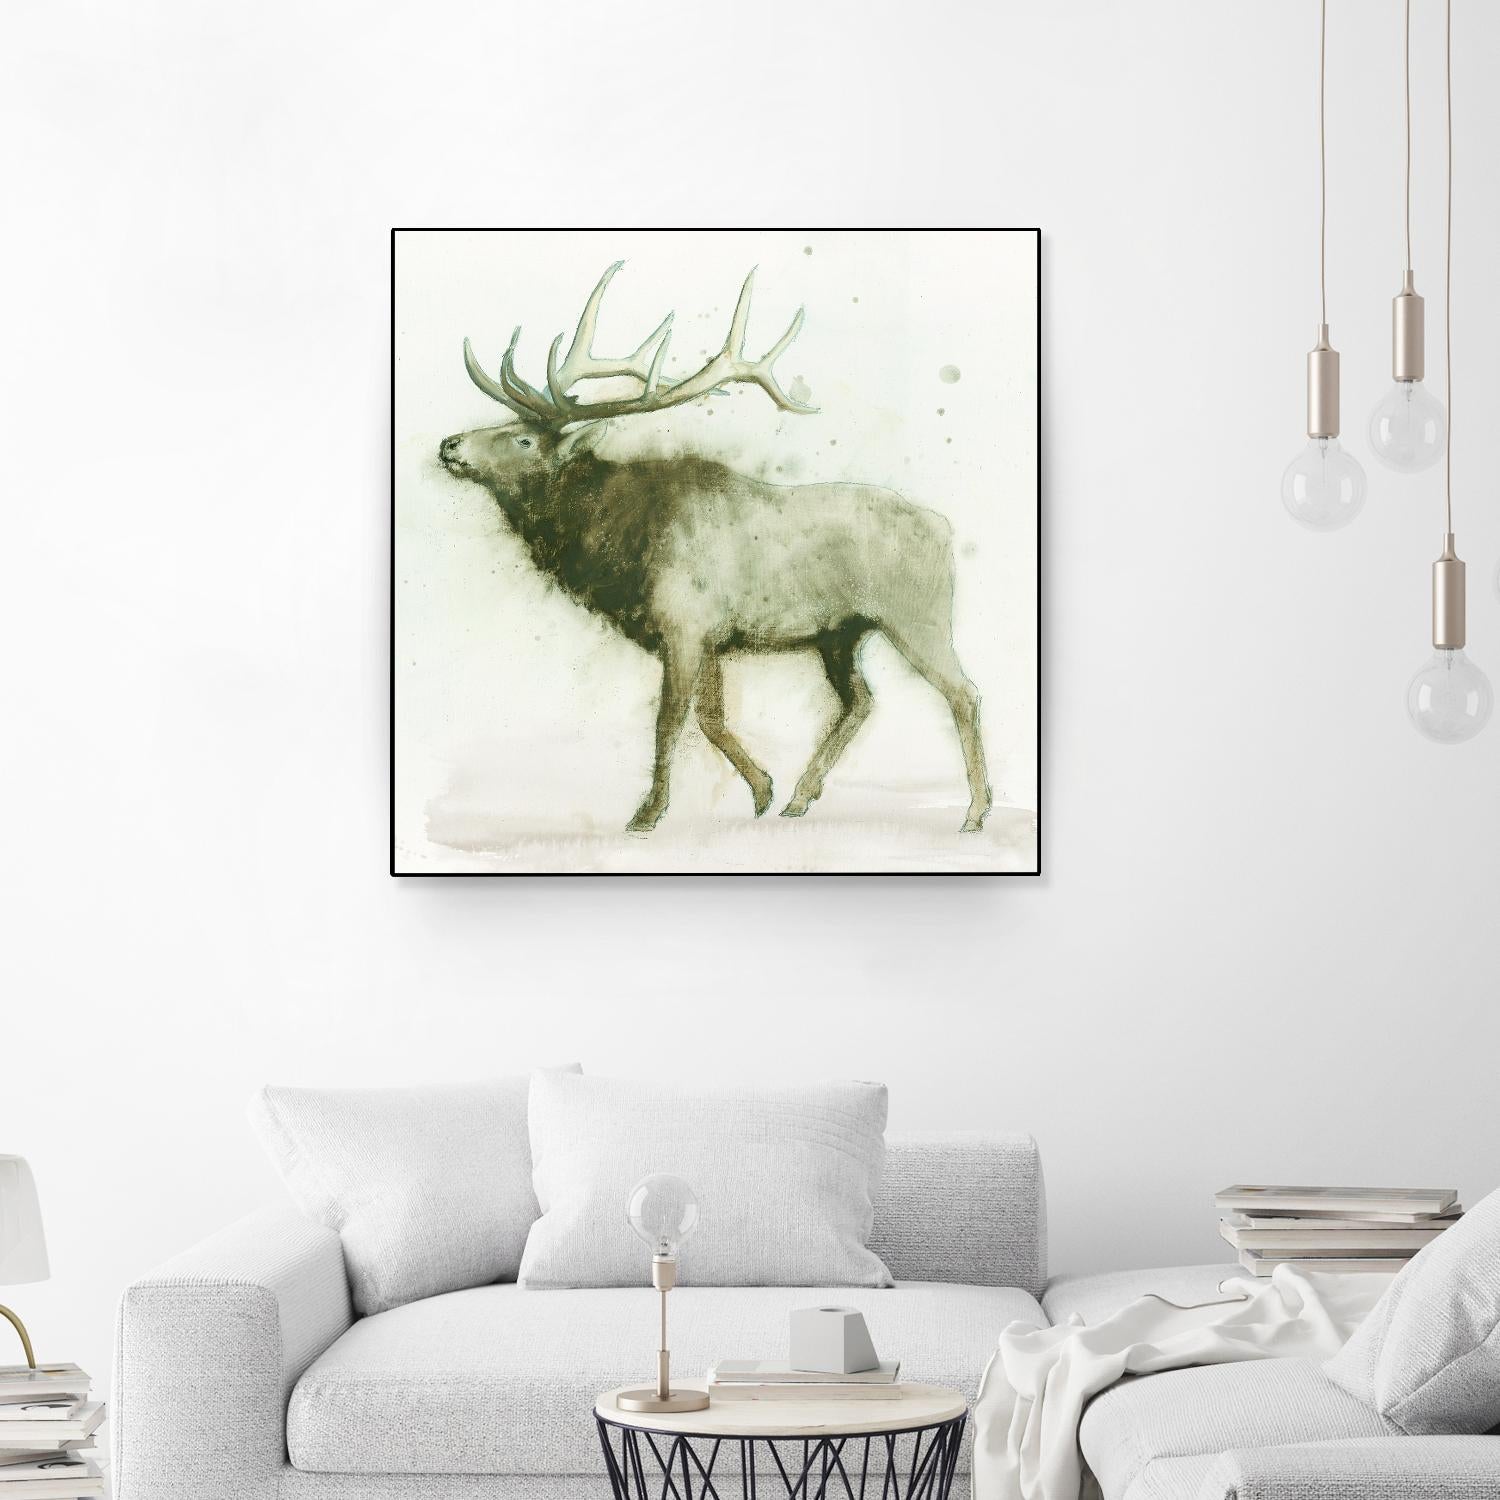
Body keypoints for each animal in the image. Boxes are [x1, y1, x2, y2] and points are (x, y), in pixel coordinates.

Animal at [438, 262, 992, 835]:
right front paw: (763, 790)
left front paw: (648, 813)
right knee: (861, 701)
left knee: (963, 692)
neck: (615, 550)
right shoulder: (711, 639)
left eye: (523, 439)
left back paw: (975, 812)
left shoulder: (684, 624)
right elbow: (711, 718)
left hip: (916, 615)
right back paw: (801, 796)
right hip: (839, 633)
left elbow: (669, 721)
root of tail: (944, 529)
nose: (449, 445)